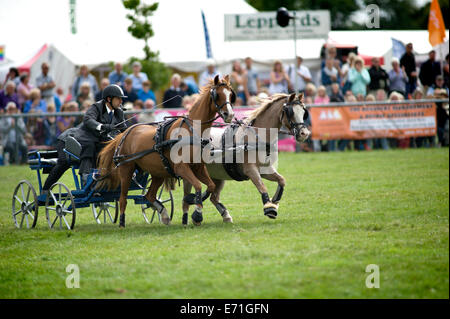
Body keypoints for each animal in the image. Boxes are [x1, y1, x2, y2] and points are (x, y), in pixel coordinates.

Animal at [95, 75, 236, 228]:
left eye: (230, 94)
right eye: (217, 95)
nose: (229, 114)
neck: (192, 130)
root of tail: (125, 133)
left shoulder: (198, 167)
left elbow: (210, 186)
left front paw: (192, 201)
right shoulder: (181, 168)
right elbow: (198, 186)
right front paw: (197, 214)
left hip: (158, 172)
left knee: (149, 195)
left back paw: (164, 214)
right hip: (126, 170)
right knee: (123, 198)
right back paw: (121, 222)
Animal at [181, 92, 312, 224]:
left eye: (303, 112)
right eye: (291, 112)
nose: (304, 134)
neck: (256, 137)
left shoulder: (265, 170)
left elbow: (282, 180)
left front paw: (274, 202)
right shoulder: (250, 170)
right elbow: (262, 187)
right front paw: (269, 208)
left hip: (217, 175)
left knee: (213, 197)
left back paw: (224, 215)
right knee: (188, 196)